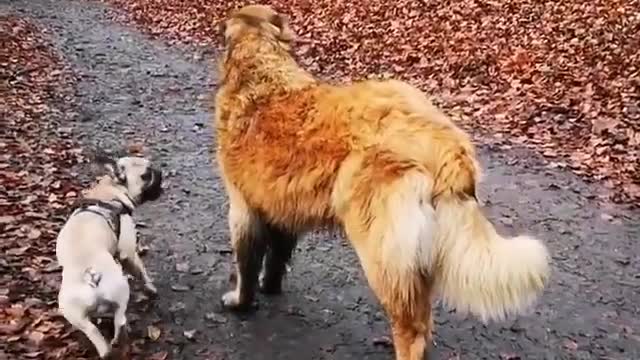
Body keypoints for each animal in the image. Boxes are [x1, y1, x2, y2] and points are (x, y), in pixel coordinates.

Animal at [56, 155, 164, 358]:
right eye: (146, 175)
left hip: (76, 316)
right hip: (121, 289)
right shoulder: (129, 252)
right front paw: (151, 288)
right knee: (119, 319)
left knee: (96, 334)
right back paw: (121, 333)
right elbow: (142, 272)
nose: (159, 171)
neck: (109, 190)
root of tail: (90, 275)